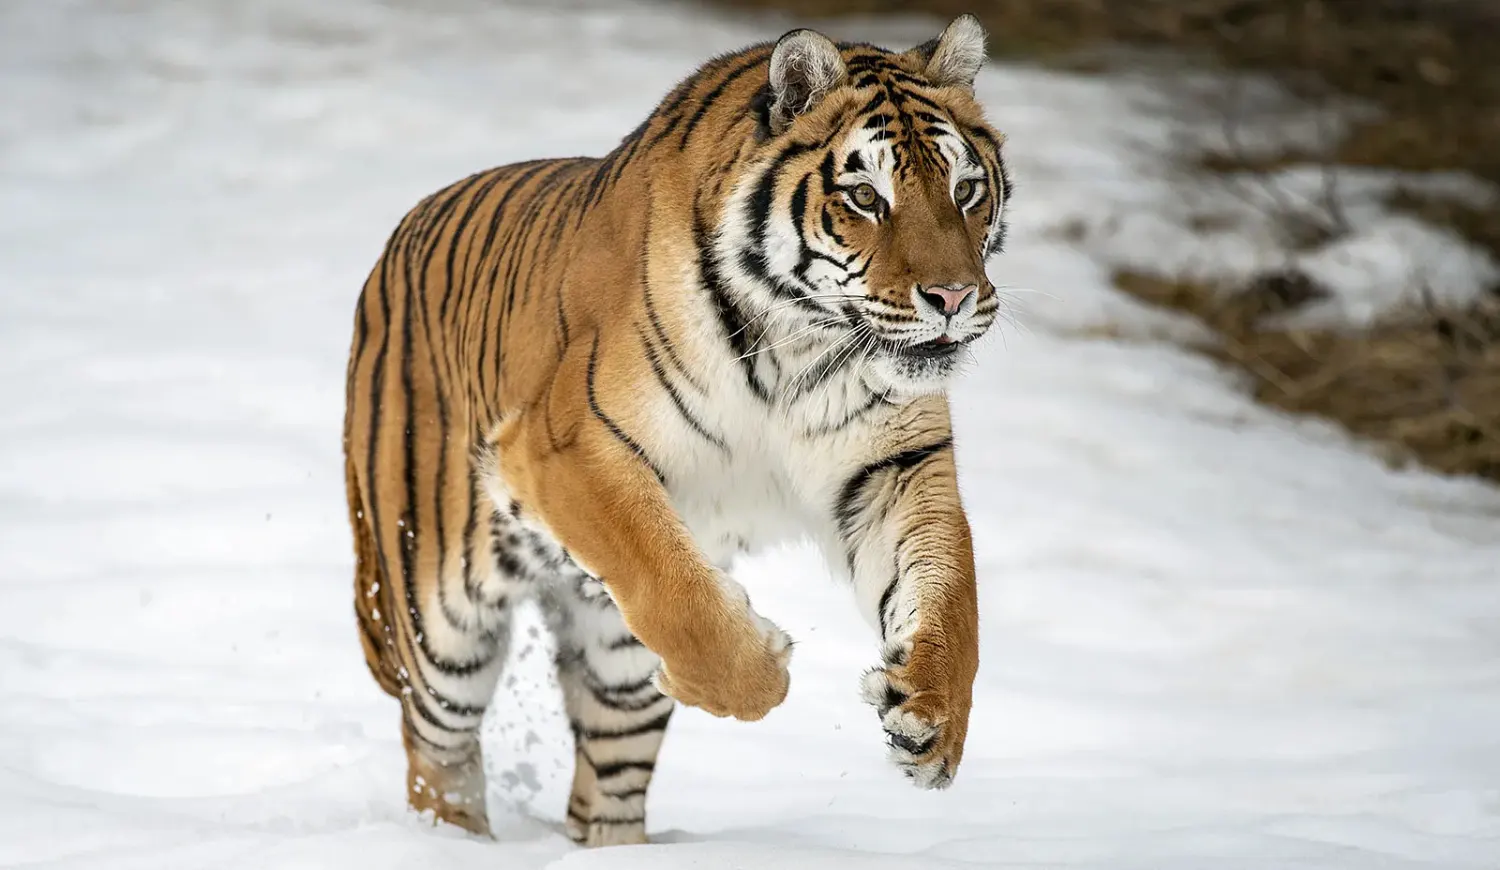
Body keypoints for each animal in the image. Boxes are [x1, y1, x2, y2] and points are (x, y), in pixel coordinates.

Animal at [343, 14, 1010, 847]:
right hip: (437, 620)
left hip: (614, 664)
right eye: (865, 196)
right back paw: (454, 843)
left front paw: (931, 721)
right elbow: (673, 587)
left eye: (966, 190)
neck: (802, 342)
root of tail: (395, 240)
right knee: (437, 750)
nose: (954, 298)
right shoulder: (569, 444)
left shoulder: (894, 466)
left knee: (607, 781)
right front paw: (763, 674)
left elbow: (951, 595)